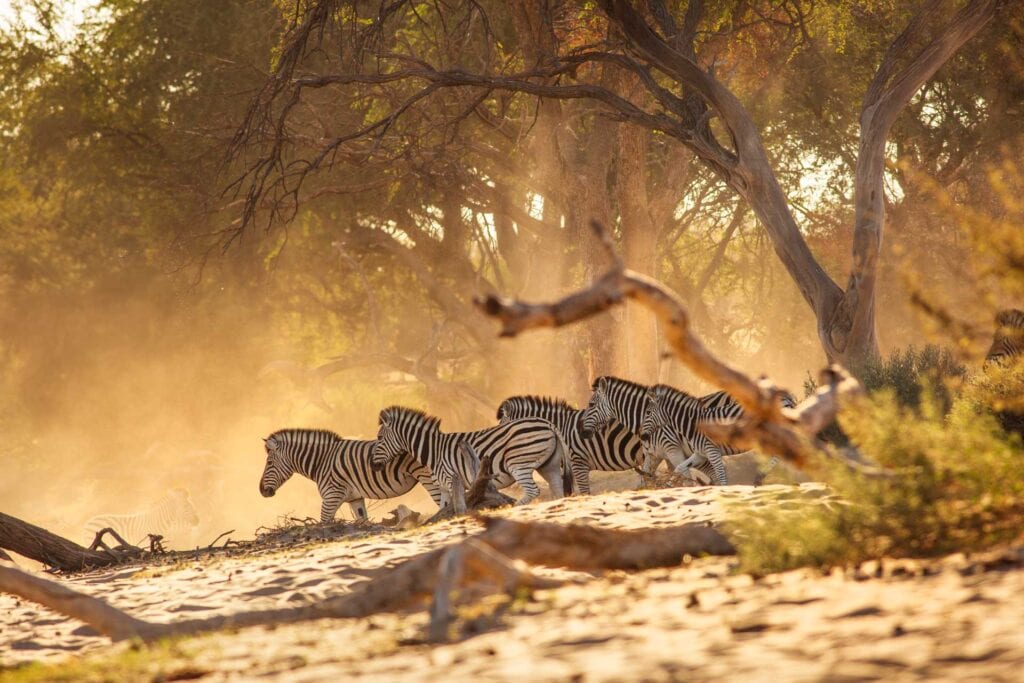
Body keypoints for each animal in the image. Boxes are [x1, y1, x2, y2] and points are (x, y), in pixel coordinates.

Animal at [259, 428, 441, 523]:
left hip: (428, 477)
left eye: (269, 463)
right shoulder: (355, 499)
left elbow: (324, 524)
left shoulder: (331, 497)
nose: (261, 491)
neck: (321, 461)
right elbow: (362, 522)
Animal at [371, 406, 570, 512]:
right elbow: (443, 509)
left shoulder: (451, 480)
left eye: (379, 438)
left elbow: (457, 506)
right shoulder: (443, 487)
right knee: (557, 490)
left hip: (518, 464)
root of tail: (548, 423)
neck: (433, 450)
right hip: (549, 465)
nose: (373, 465)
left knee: (532, 491)